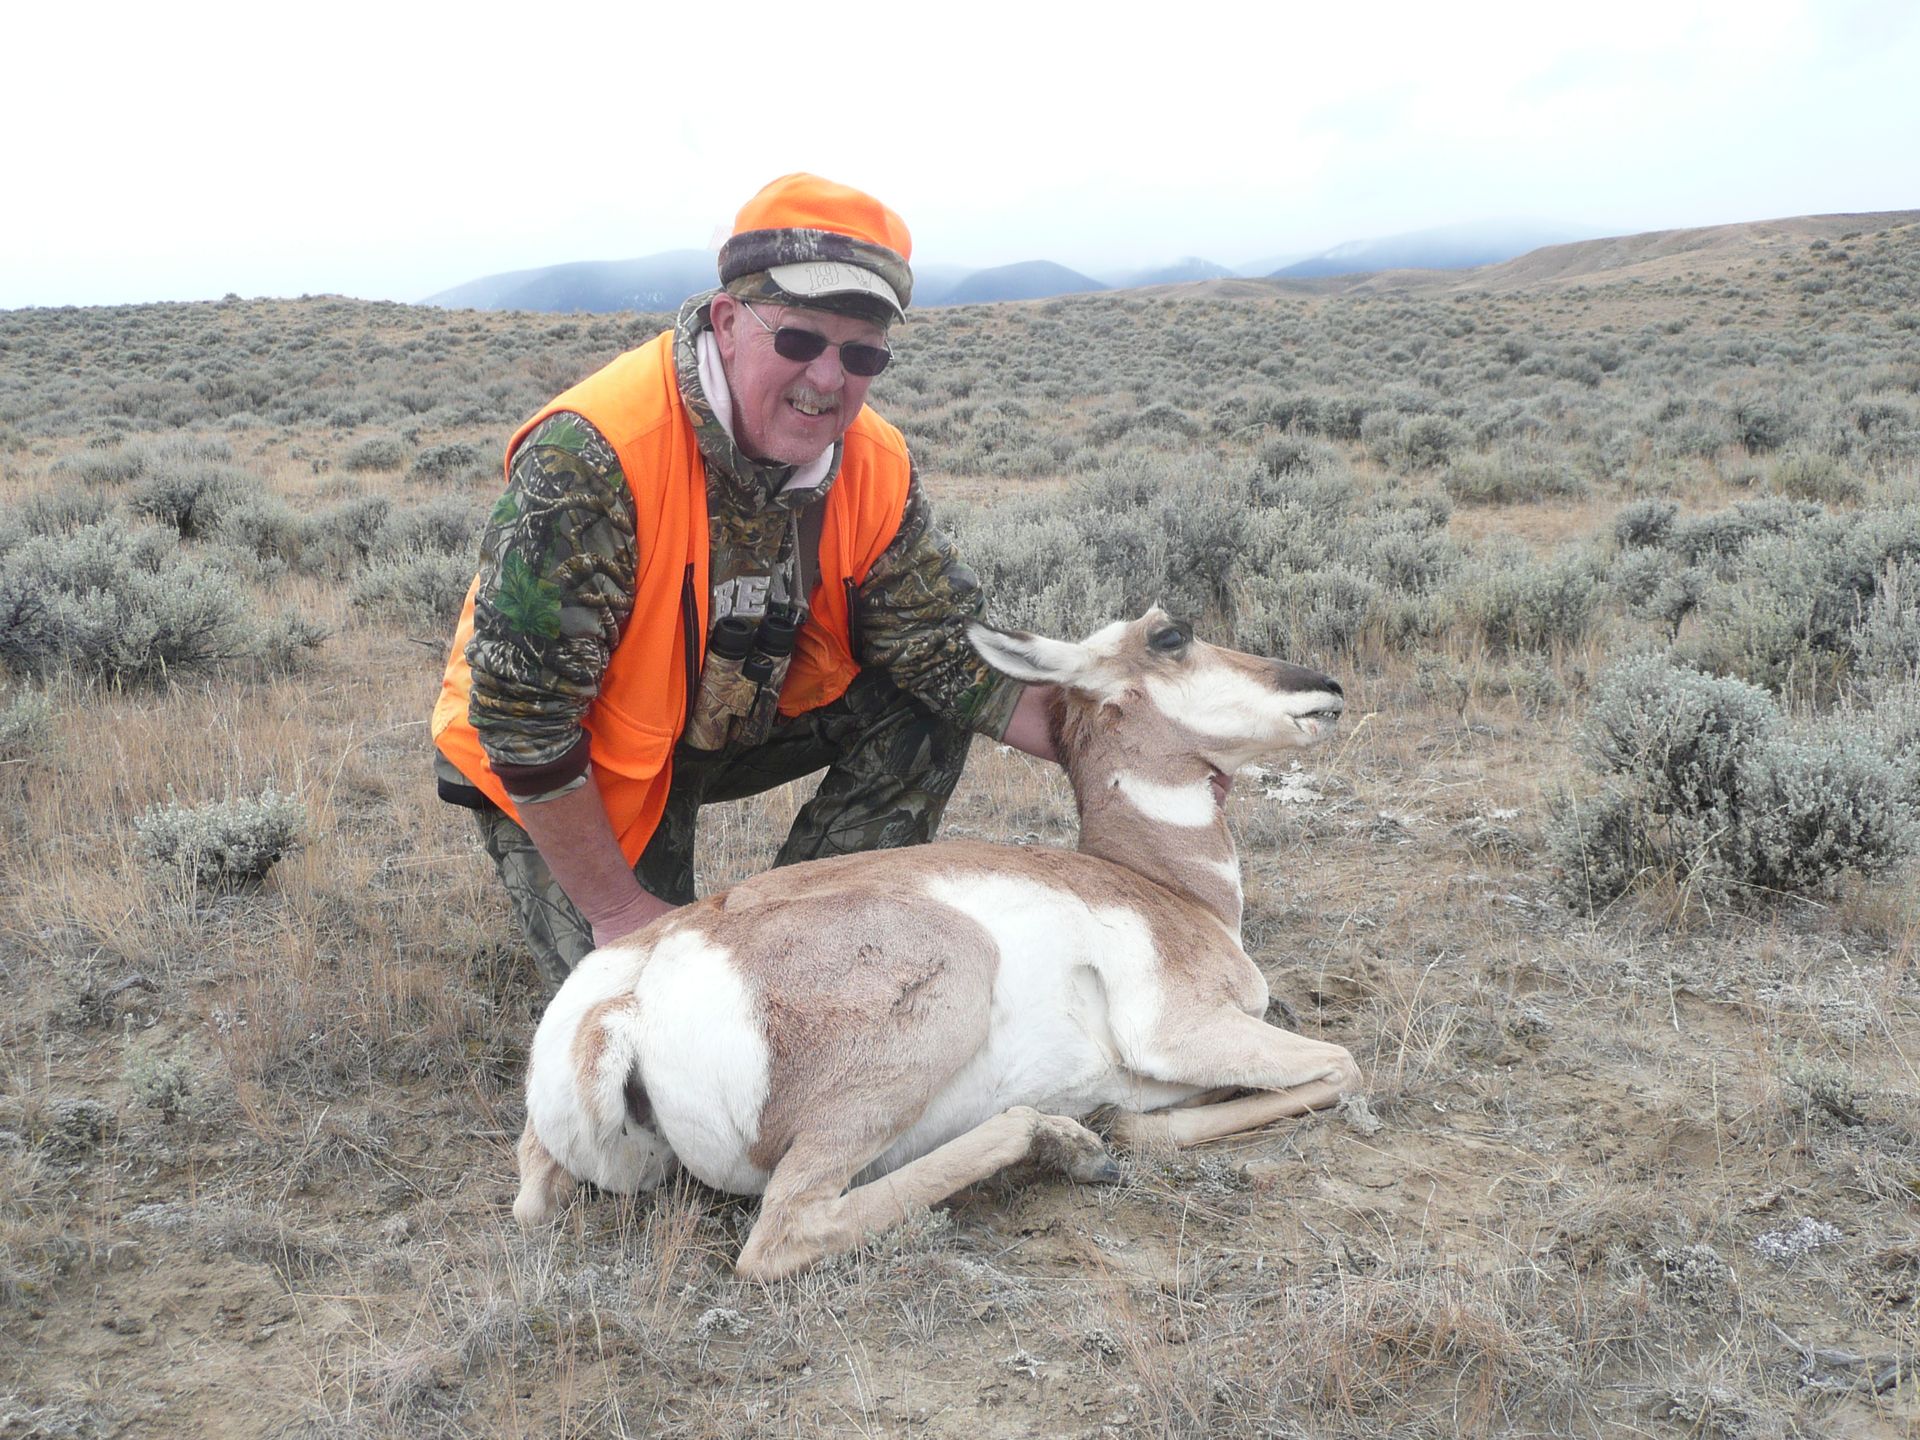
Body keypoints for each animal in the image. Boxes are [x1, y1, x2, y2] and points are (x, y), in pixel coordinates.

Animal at [513, 609, 1360, 1280]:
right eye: (1170, 634)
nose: (1327, 686)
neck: (1162, 888)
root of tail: (626, 1002)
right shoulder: (1185, 1031)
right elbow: (1343, 1068)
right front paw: (1129, 1129)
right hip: (945, 997)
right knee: (785, 1233)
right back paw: (1062, 1140)